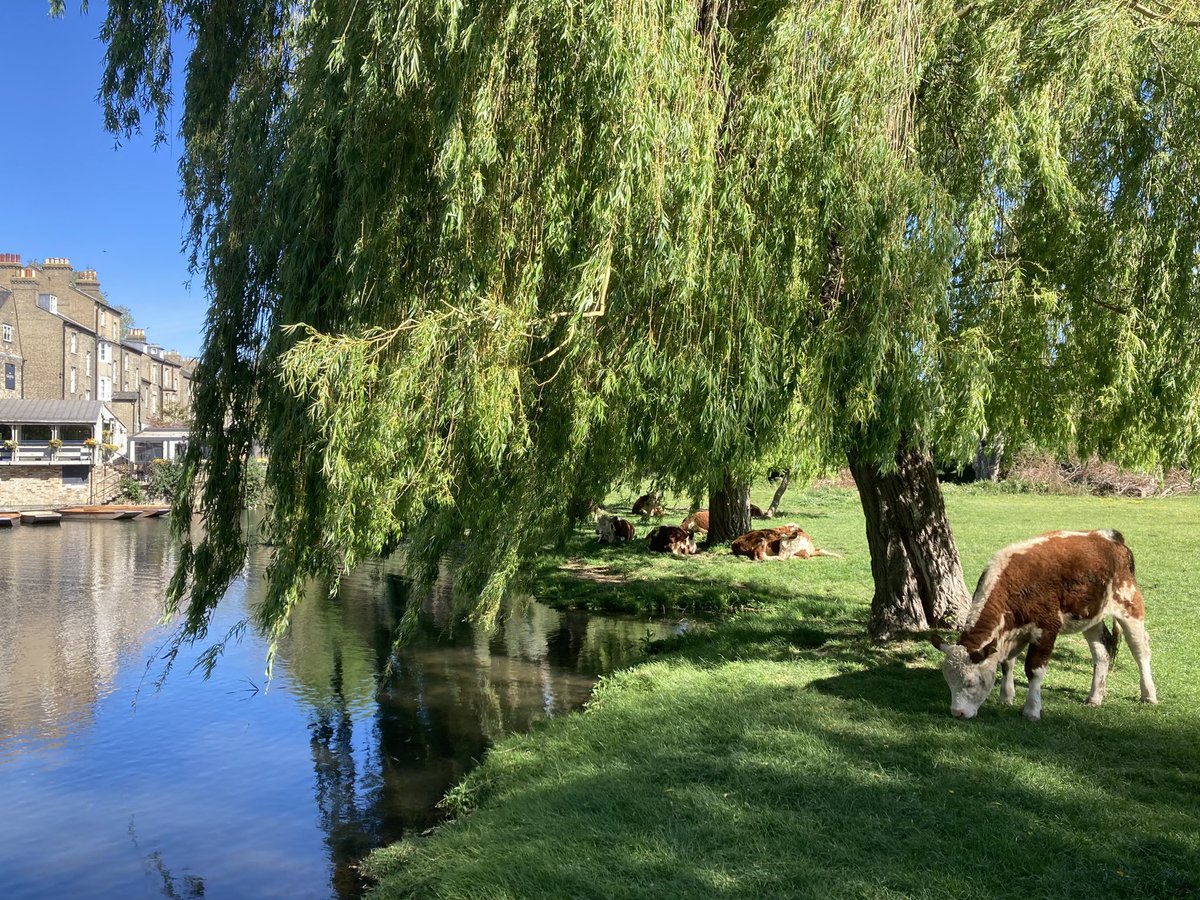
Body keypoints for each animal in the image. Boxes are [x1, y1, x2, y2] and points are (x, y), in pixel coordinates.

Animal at [931, 530, 1158, 722]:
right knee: (1102, 654)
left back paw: (1149, 694)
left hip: (1130, 608)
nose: (957, 713)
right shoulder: (1012, 634)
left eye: (970, 682)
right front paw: (1006, 696)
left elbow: (1034, 669)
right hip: (1091, 617)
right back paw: (1095, 697)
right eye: (948, 680)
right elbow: (1007, 663)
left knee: (1141, 651)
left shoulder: (1047, 628)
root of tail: (1109, 536)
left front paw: (1032, 710)